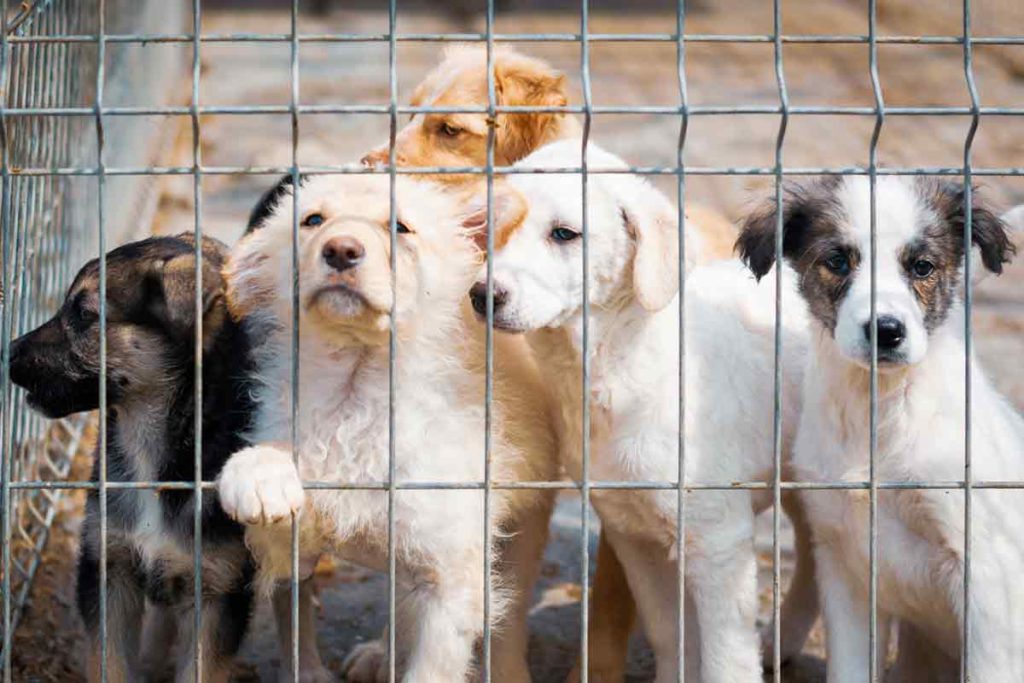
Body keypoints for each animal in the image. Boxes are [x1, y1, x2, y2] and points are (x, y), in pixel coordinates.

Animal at [10, 235, 256, 683]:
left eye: (84, 314)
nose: (9, 352)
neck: (147, 447)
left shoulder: (218, 590)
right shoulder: (108, 567)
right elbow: (109, 663)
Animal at [211, 175, 557, 683]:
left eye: (401, 227)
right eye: (312, 220)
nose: (340, 249)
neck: (356, 395)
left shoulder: (450, 582)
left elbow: (429, 668)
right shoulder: (289, 549)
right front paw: (260, 476)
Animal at [475, 140, 819, 683]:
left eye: (564, 234)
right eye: (494, 229)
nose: (481, 296)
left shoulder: (719, 541)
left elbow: (725, 660)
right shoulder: (635, 536)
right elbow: (669, 635)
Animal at [741, 178, 1019, 683]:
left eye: (922, 266)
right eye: (837, 261)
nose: (887, 331)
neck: (879, 409)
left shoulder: (990, 572)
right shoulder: (845, 566)